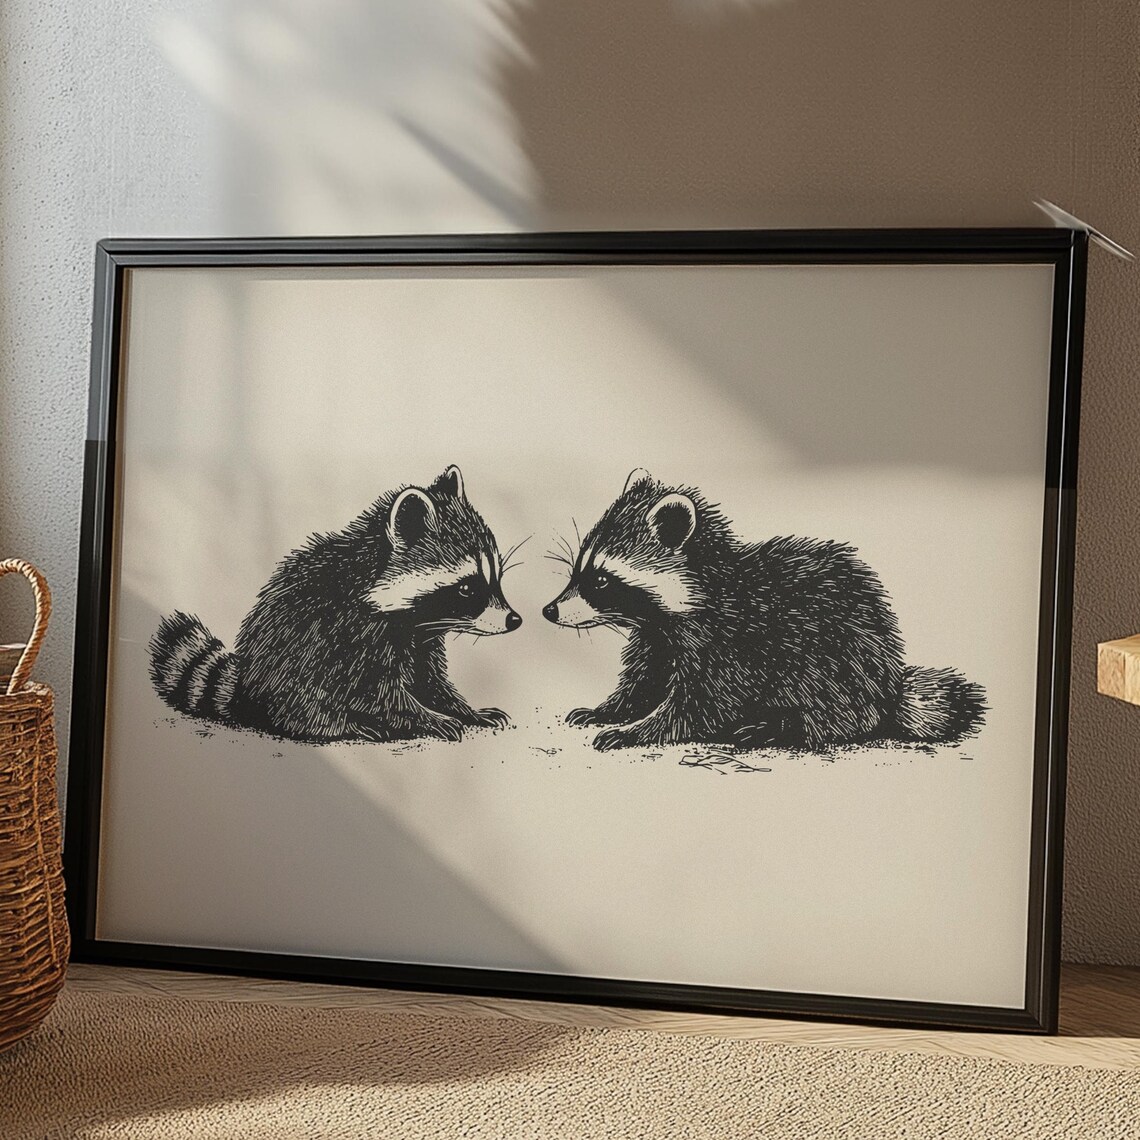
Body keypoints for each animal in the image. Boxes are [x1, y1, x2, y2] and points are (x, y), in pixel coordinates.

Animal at [149, 465, 522, 744]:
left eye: (497, 579)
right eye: (466, 588)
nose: (514, 620)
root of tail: (246, 688)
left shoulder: (421, 639)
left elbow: (429, 679)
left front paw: (462, 709)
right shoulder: (352, 634)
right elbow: (381, 691)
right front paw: (427, 716)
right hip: (291, 671)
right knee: (309, 708)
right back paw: (349, 724)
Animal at [543, 471, 986, 752]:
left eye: (601, 580)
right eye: (577, 570)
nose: (549, 611)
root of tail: (890, 686)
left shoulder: (733, 642)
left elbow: (699, 705)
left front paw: (639, 730)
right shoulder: (657, 639)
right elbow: (644, 681)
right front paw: (609, 710)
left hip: (837, 658)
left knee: (835, 716)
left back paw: (773, 726)